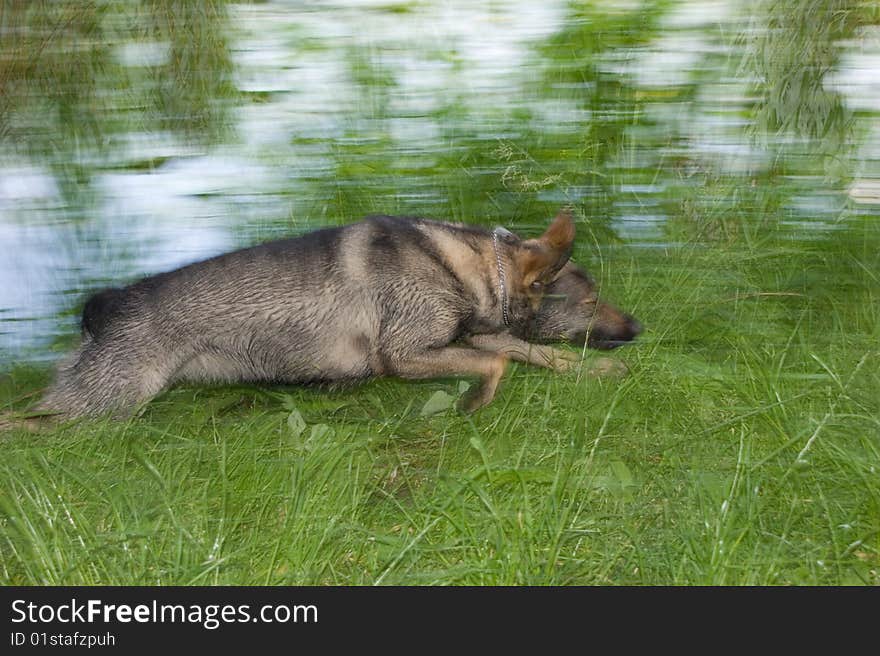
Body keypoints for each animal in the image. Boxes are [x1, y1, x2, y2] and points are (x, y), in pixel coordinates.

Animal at [31, 211, 580, 420]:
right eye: (570, 295)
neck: (461, 263)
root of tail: (105, 305)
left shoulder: (459, 339)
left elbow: (517, 352)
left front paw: (583, 367)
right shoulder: (404, 354)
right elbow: (498, 363)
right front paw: (476, 401)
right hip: (103, 405)